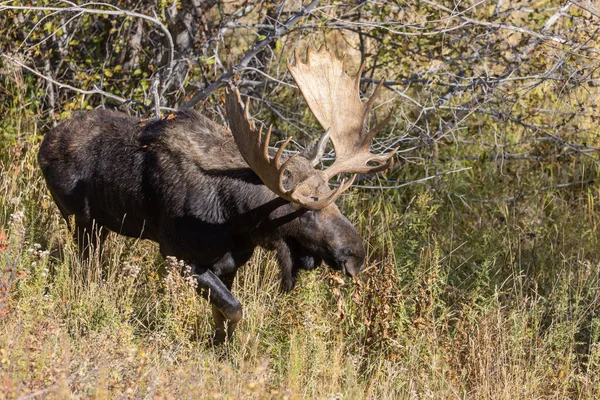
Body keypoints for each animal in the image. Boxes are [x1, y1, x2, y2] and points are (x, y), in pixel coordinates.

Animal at [37, 47, 398, 344]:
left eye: (332, 199)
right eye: (307, 210)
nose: (356, 254)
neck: (239, 219)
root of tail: (44, 143)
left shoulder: (230, 264)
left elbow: (222, 316)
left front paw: (220, 347)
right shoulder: (179, 255)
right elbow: (235, 309)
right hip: (81, 221)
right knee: (85, 266)